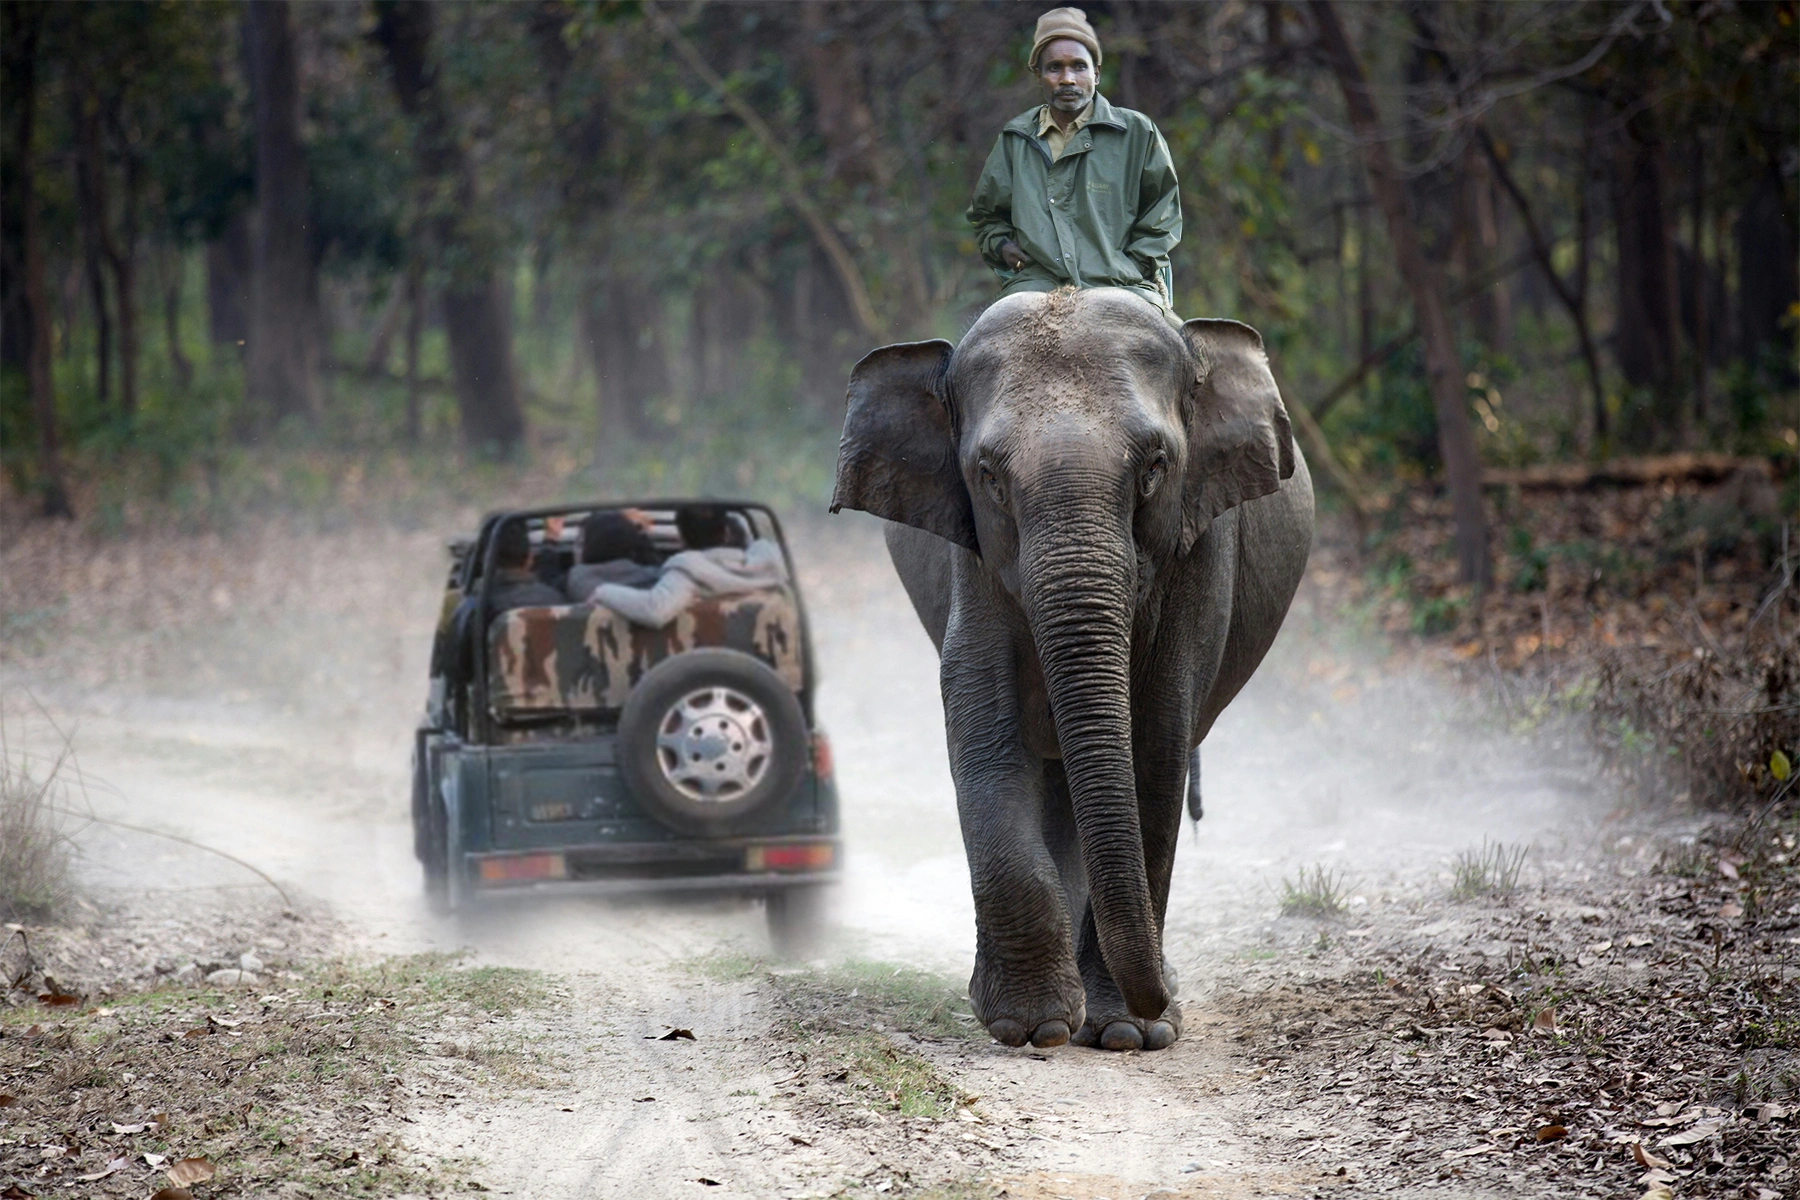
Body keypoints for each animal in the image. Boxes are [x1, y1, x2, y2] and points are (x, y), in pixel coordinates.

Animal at [824, 287, 1310, 1050]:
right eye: (988, 476)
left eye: (1154, 467)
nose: (1161, 997)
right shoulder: (973, 557)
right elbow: (984, 728)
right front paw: (1034, 1027)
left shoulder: (1200, 548)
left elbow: (1156, 744)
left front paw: (1129, 1034)